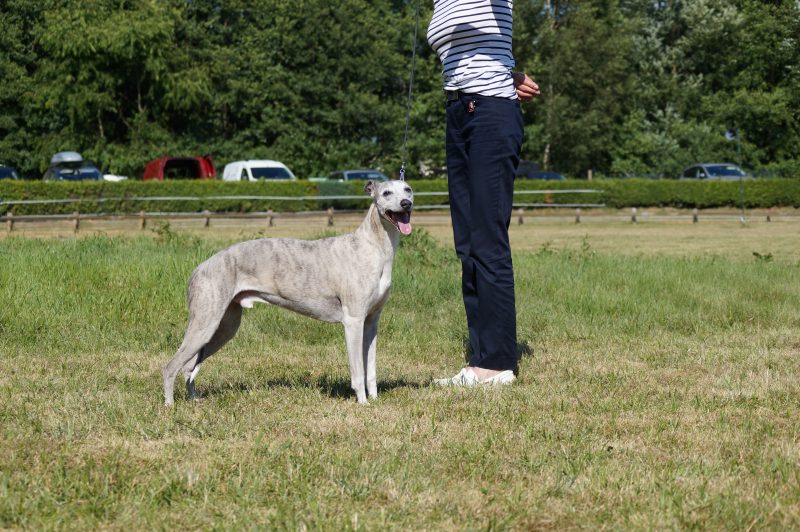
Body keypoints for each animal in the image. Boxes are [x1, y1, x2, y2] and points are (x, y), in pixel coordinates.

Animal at [162, 179, 414, 405]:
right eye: (386, 193)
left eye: (408, 189)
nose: (406, 203)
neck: (372, 247)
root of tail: (199, 269)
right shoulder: (353, 321)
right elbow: (358, 371)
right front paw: (363, 403)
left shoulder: (371, 322)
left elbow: (370, 368)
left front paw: (375, 399)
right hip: (205, 324)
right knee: (171, 366)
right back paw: (169, 406)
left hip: (224, 327)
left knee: (189, 367)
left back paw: (194, 400)